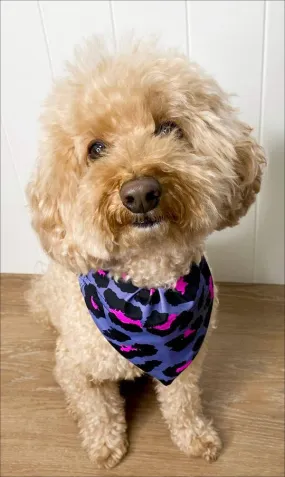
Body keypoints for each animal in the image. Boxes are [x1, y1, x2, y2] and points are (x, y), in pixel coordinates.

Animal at [26, 38, 264, 468]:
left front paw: (196, 437)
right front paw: (104, 446)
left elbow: (183, 403)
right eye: (96, 149)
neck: (151, 287)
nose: (140, 193)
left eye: (168, 128)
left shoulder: (187, 364)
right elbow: (98, 409)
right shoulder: (75, 368)